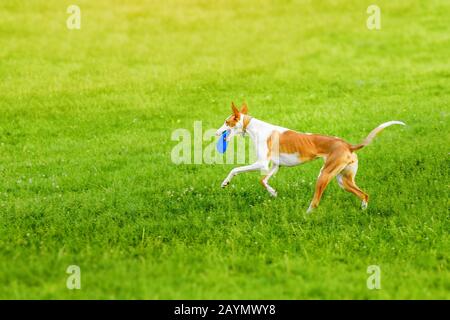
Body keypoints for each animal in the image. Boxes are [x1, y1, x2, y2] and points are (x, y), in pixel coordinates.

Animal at [214, 102, 404, 212]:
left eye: (226, 122)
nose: (216, 133)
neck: (254, 127)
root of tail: (348, 145)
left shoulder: (262, 164)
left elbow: (235, 169)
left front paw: (225, 182)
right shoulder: (275, 166)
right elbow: (263, 181)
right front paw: (273, 192)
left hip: (324, 175)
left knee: (316, 202)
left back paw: (306, 216)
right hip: (343, 180)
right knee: (364, 195)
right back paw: (363, 210)